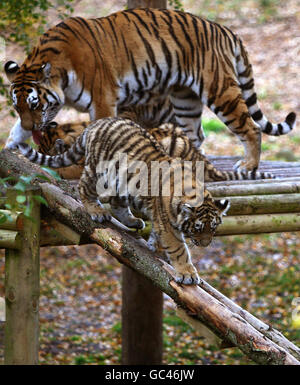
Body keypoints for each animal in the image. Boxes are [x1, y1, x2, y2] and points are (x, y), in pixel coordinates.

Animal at [4, 7, 296, 171]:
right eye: (18, 107)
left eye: (35, 104)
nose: (33, 127)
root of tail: (225, 29)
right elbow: (15, 132)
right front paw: (8, 151)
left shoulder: (103, 100)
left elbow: (98, 131)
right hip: (184, 99)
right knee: (196, 134)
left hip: (220, 90)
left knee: (252, 128)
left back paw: (248, 165)